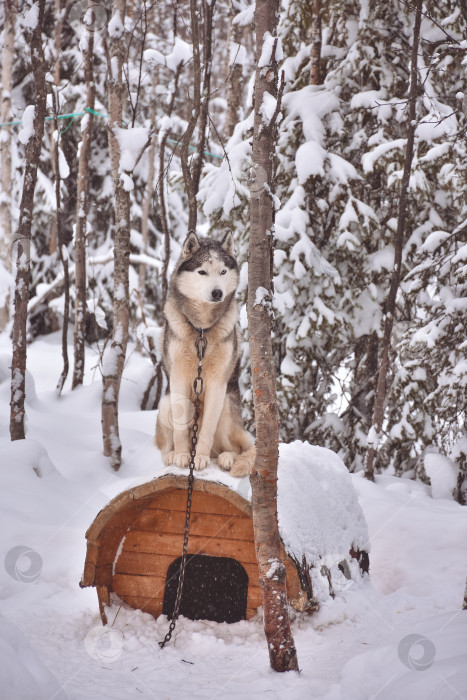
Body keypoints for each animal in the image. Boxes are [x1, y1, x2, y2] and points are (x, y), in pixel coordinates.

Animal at [155, 230, 256, 476]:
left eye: (222, 271)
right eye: (202, 272)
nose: (217, 292)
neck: (201, 330)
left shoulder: (217, 385)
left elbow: (207, 431)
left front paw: (198, 458)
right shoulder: (178, 379)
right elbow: (181, 428)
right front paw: (183, 455)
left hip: (227, 408)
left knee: (234, 449)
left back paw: (226, 458)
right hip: (165, 404)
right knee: (166, 445)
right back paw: (171, 455)